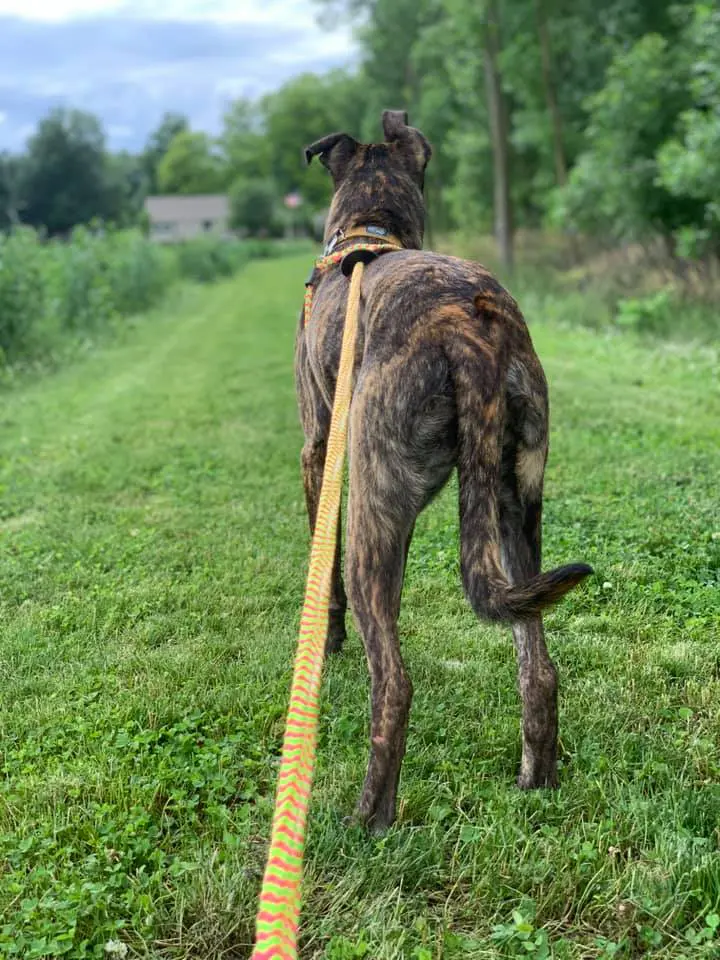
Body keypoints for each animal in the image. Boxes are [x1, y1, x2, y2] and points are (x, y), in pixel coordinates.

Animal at [296, 109, 592, 832]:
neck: (369, 228)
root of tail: (471, 333)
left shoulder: (321, 452)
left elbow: (325, 572)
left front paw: (330, 638)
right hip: (516, 510)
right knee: (539, 667)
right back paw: (537, 781)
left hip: (377, 509)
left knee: (394, 684)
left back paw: (367, 820)